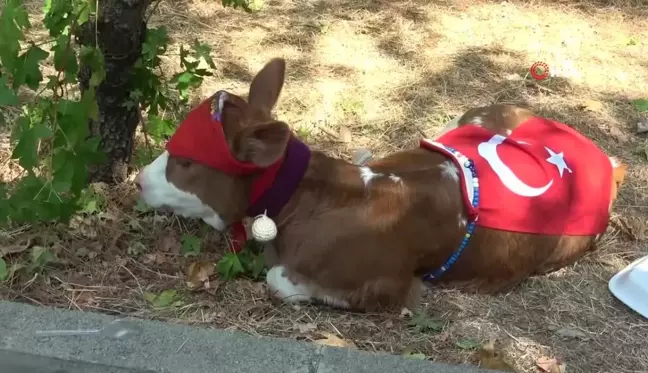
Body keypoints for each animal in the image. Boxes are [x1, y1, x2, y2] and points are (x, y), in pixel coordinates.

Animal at [137, 57, 628, 310]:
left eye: (185, 161)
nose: (139, 180)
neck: (311, 199)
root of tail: (604, 159)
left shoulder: (388, 286)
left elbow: (278, 279)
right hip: (473, 116)